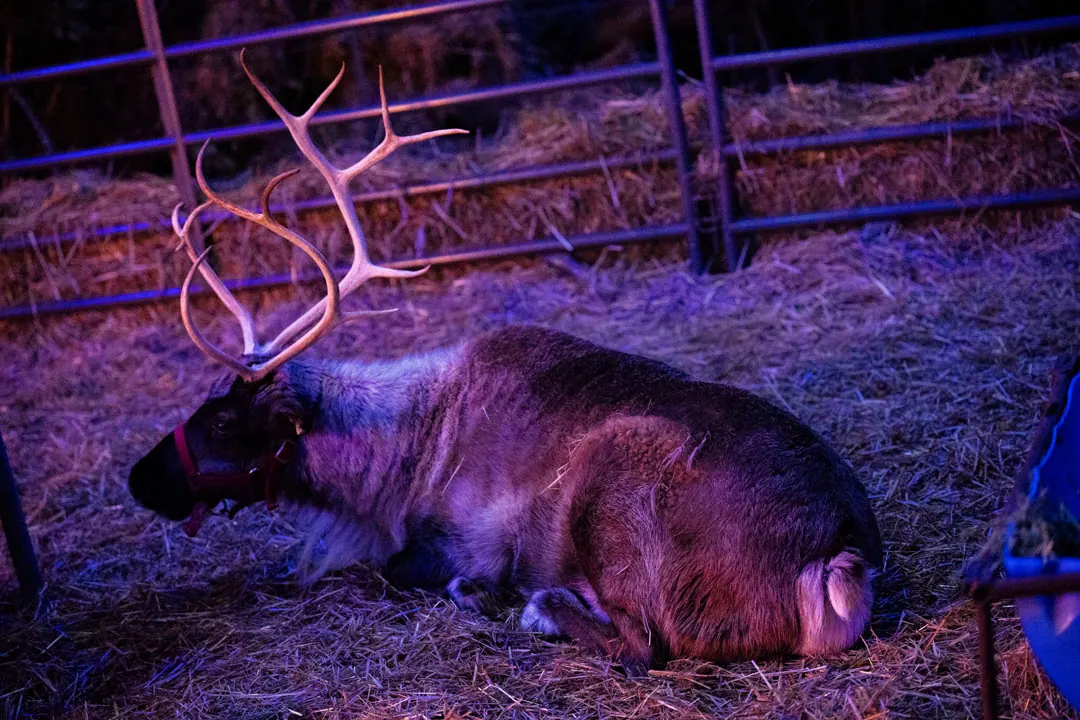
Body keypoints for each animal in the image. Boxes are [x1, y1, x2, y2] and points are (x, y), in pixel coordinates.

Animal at [127, 51, 883, 675]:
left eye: (224, 423)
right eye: (207, 403)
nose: (138, 478)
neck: (394, 461)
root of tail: (839, 556)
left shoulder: (460, 540)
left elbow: (399, 570)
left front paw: (480, 591)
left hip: (611, 487)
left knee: (642, 646)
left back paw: (540, 607)